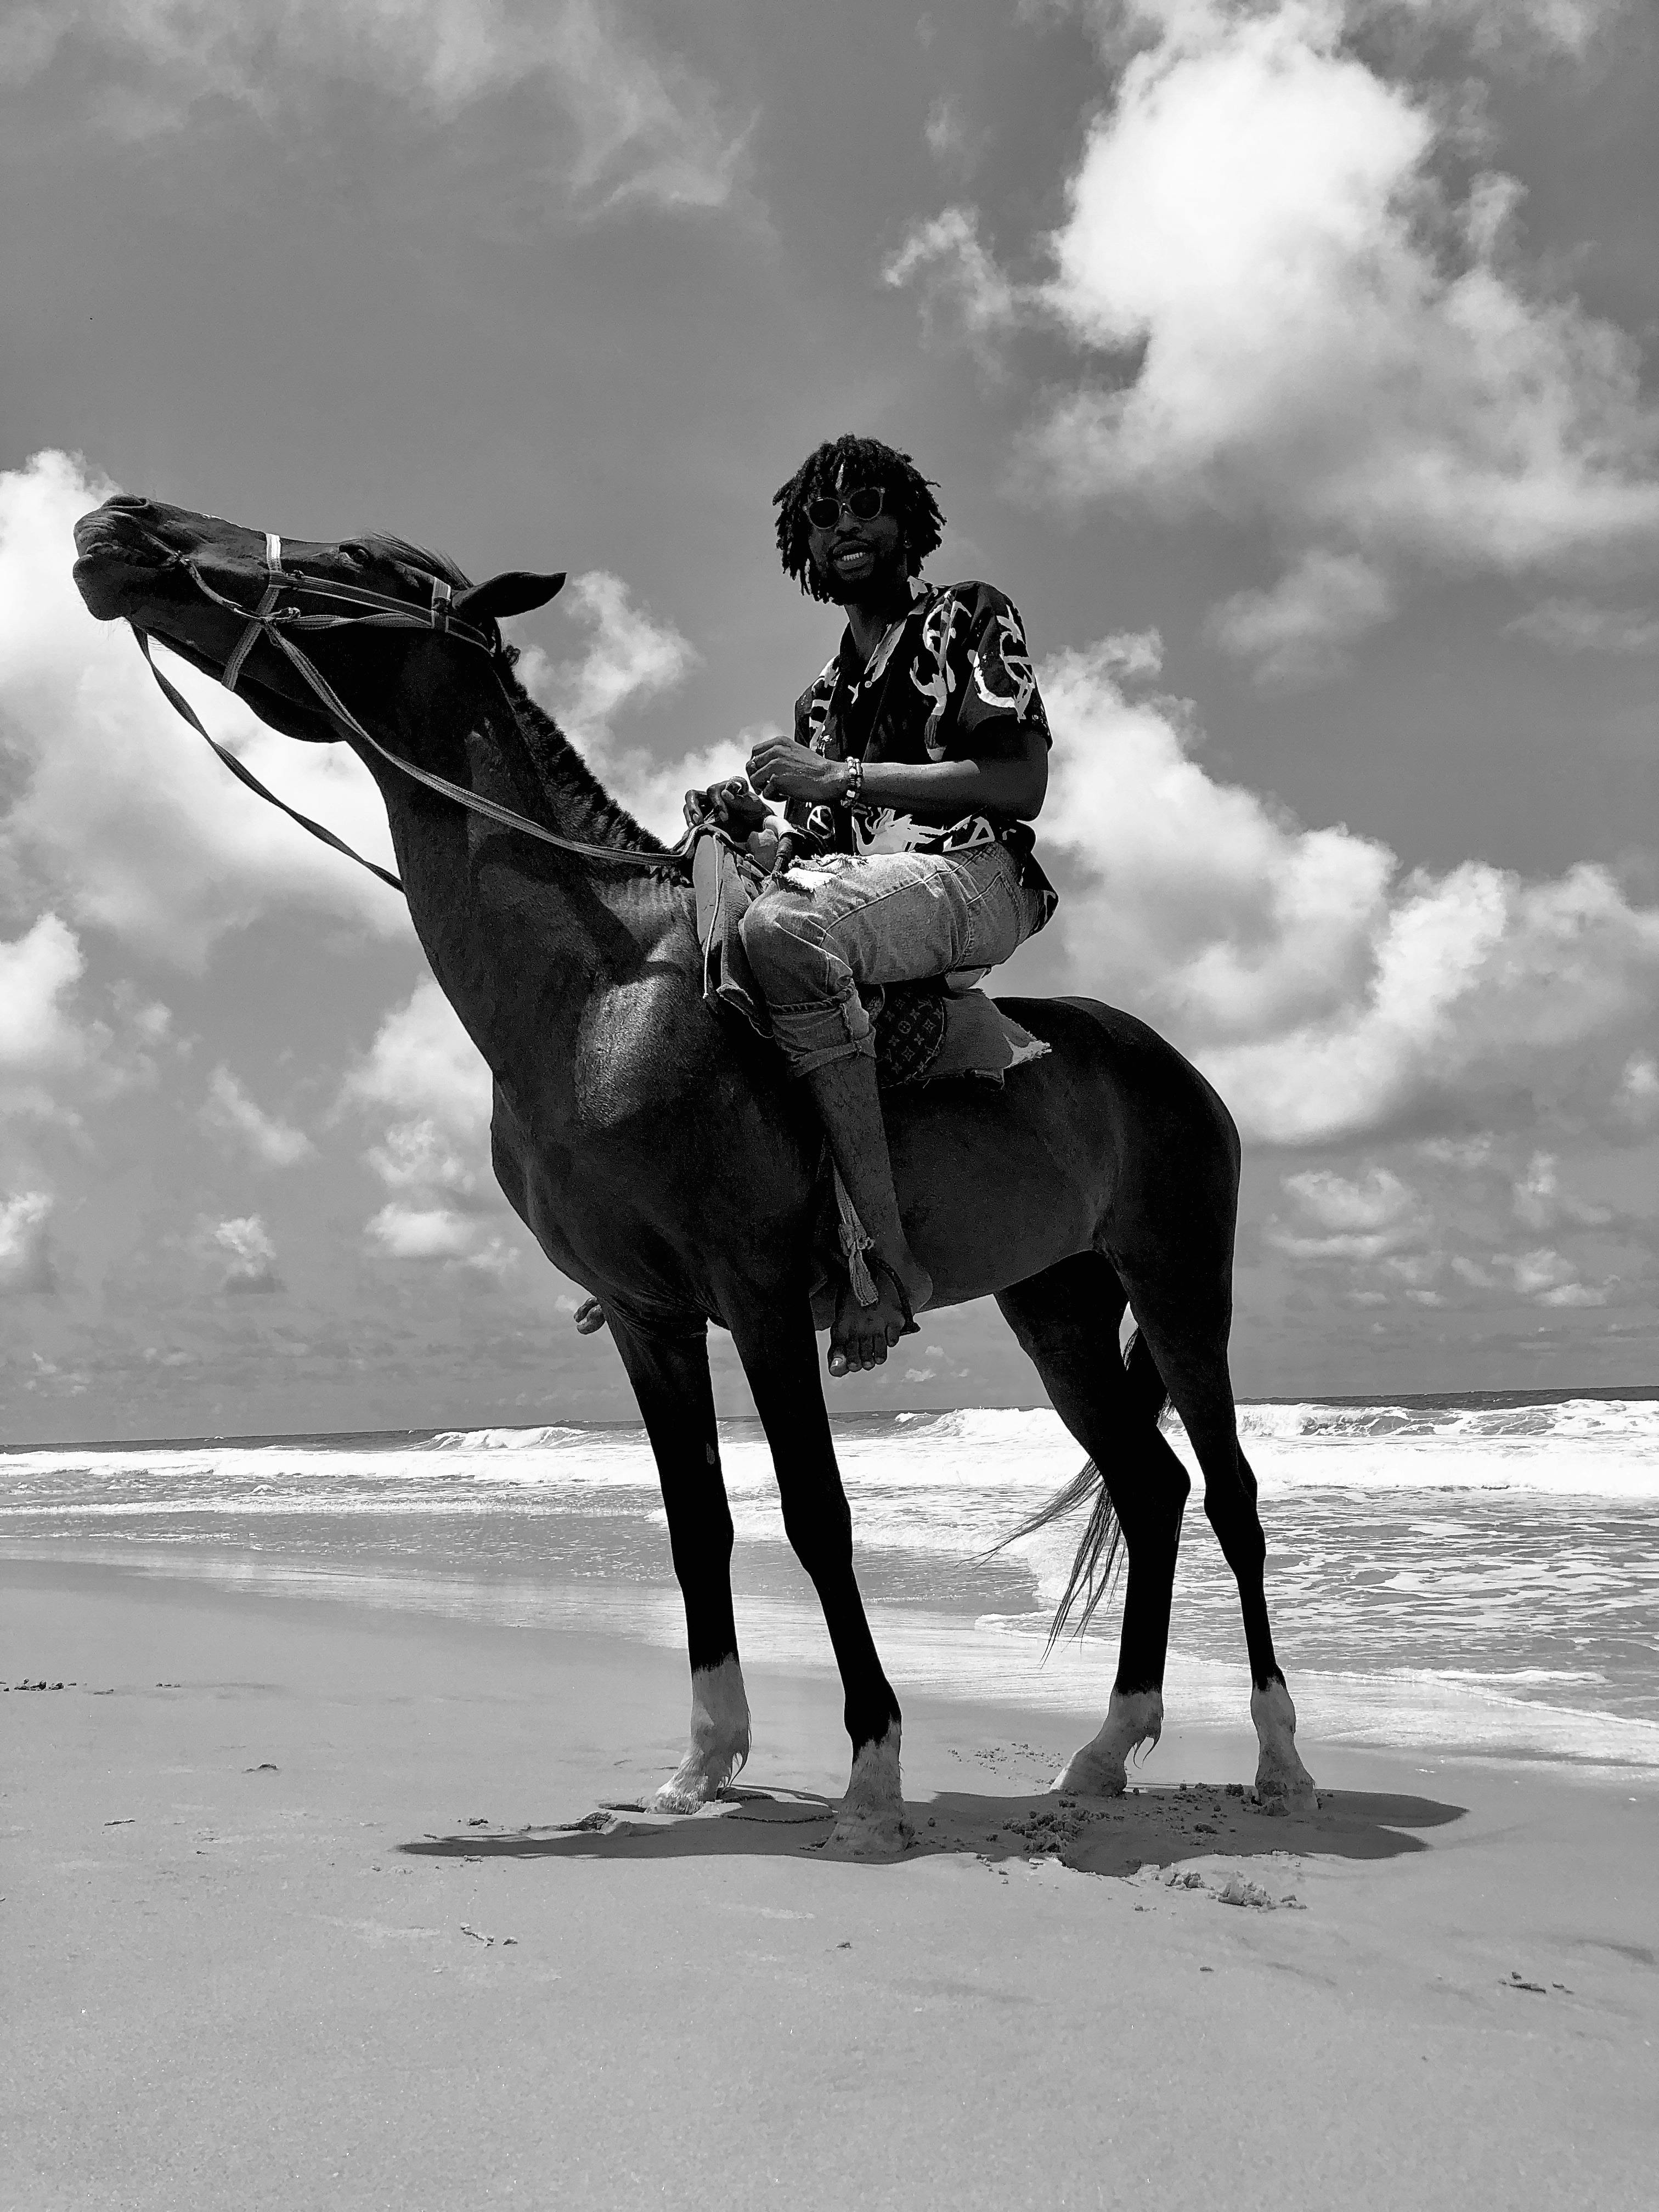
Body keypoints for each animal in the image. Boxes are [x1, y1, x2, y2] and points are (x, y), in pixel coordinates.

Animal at [75, 498, 1327, 1849]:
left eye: (358, 564)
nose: (117, 525)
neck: (603, 998)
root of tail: (1176, 1069)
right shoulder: (648, 1318)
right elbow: (696, 1528)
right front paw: (703, 1763)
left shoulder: (763, 1295)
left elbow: (816, 1515)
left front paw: (871, 1775)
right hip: (1057, 1303)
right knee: (1149, 1488)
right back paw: (1101, 1752)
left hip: (1179, 1285)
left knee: (1231, 1494)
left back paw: (1280, 1763)